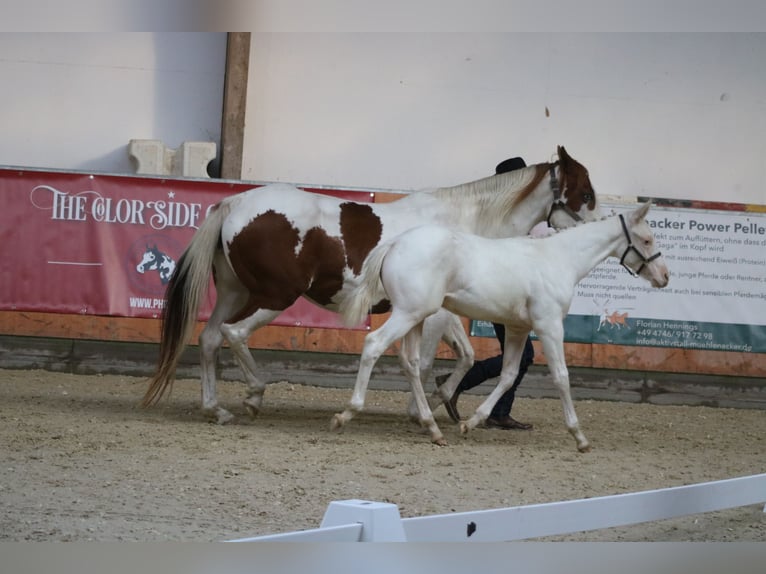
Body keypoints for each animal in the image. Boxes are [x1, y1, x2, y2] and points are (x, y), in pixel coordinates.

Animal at [141, 145, 604, 424]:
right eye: (585, 193)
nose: (603, 230)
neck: (462, 224)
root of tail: (236, 202)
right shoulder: (431, 315)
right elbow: (426, 362)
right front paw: (422, 411)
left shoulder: (439, 312)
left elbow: (466, 356)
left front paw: (440, 401)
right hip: (274, 296)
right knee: (234, 334)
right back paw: (253, 395)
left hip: (235, 291)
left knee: (209, 338)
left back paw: (215, 408)